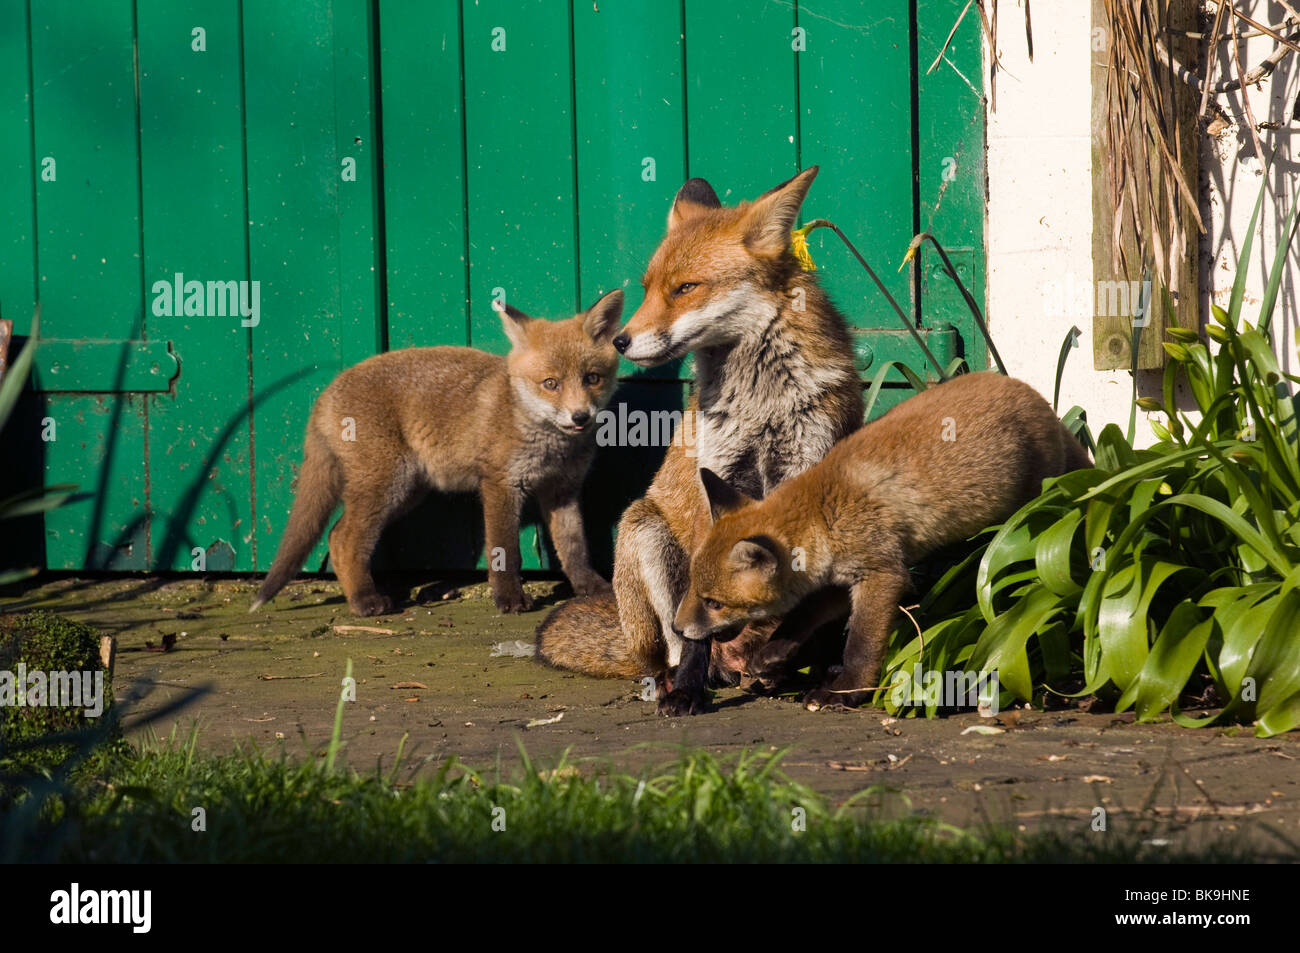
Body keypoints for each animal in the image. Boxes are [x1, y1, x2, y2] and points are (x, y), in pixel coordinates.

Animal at [535, 167, 863, 712]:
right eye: (647, 289)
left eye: (686, 288)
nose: (620, 341)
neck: (760, 404)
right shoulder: (716, 483)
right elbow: (693, 628)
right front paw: (690, 689)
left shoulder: (807, 477)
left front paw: (805, 669)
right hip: (645, 528)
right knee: (668, 645)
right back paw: (688, 677)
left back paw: (778, 671)